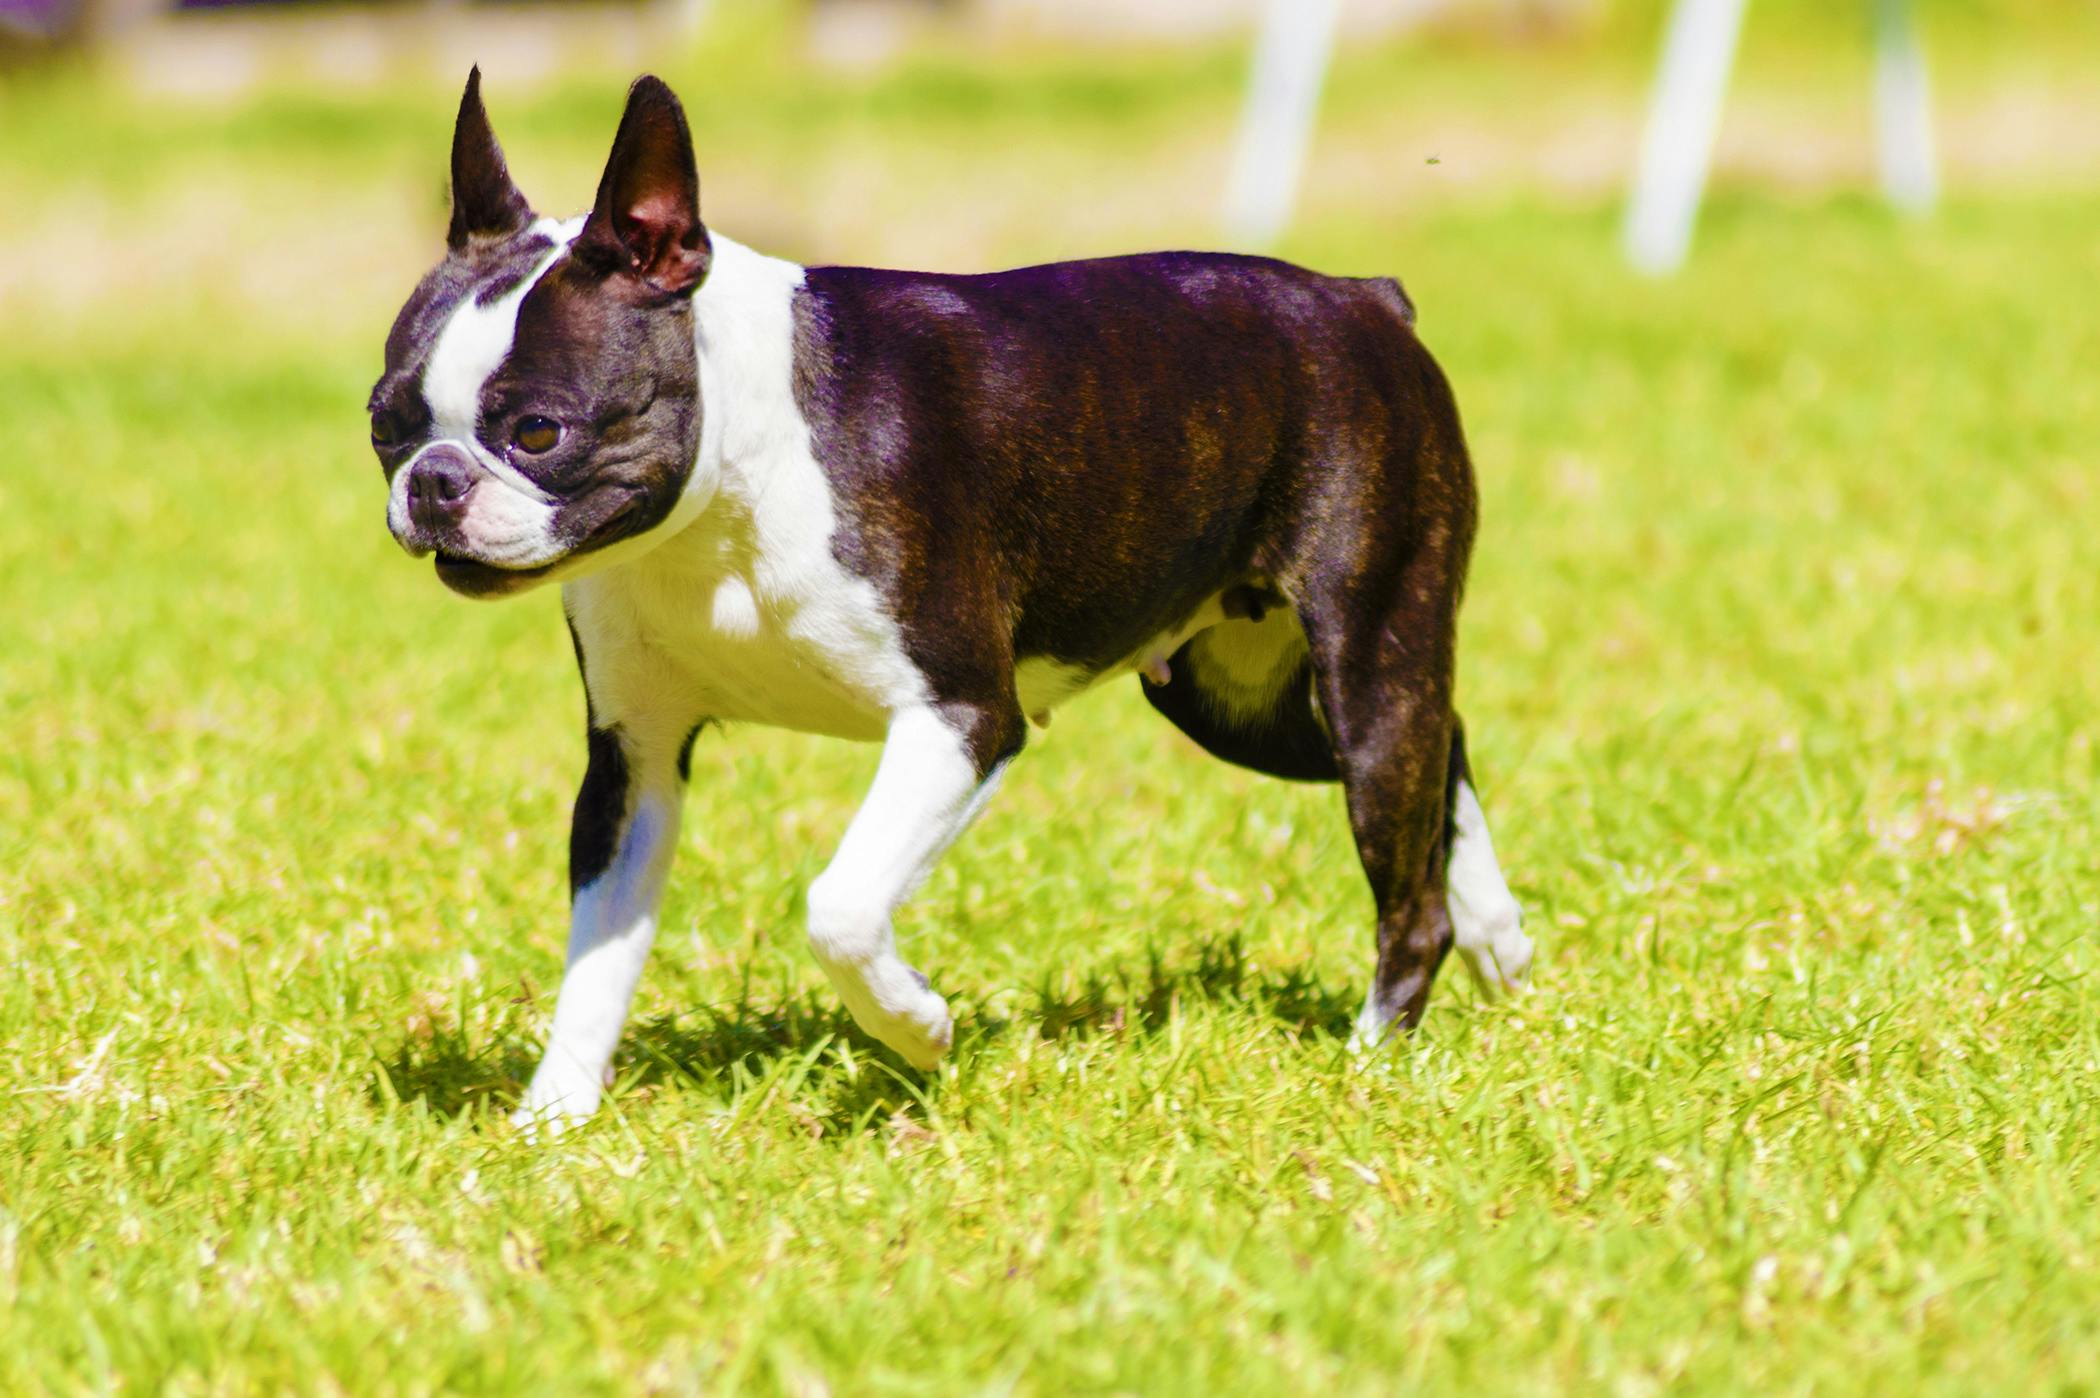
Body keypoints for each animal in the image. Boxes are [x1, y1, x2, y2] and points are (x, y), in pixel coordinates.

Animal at [369, 70, 1537, 1125]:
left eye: (538, 432)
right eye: (385, 423)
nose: (432, 481)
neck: (725, 504)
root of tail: (1366, 297)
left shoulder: (963, 716)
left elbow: (840, 906)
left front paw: (917, 1029)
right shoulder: (635, 765)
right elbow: (599, 959)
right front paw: (554, 1120)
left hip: (1365, 653)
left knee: (1410, 870)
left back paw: (1375, 1055)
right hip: (1234, 702)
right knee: (1446, 751)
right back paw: (1500, 941)